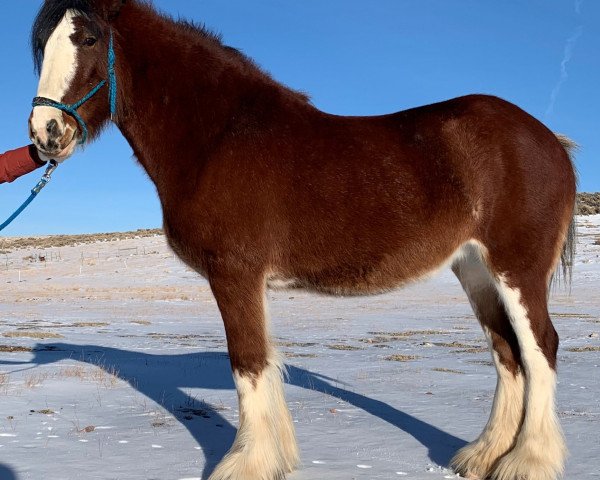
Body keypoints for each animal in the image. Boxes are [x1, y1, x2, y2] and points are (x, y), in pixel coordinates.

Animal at [27, 0, 576, 480]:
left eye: (88, 38)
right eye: (41, 45)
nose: (44, 132)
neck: (218, 137)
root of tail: (549, 139)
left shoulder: (234, 274)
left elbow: (247, 364)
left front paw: (243, 465)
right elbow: (265, 364)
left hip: (516, 270)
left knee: (539, 349)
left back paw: (527, 462)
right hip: (475, 270)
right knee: (507, 353)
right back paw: (482, 456)